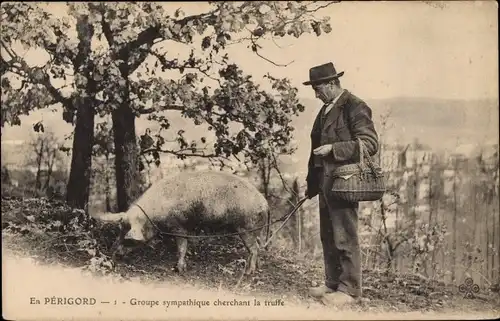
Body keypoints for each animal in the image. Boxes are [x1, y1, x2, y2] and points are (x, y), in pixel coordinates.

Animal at [94, 169, 270, 274]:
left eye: (128, 237)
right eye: (120, 229)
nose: (113, 253)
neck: (153, 214)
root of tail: (265, 203)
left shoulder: (178, 226)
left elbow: (181, 248)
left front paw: (178, 269)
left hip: (247, 227)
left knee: (254, 248)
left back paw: (248, 272)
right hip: (255, 228)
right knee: (257, 246)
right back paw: (257, 267)